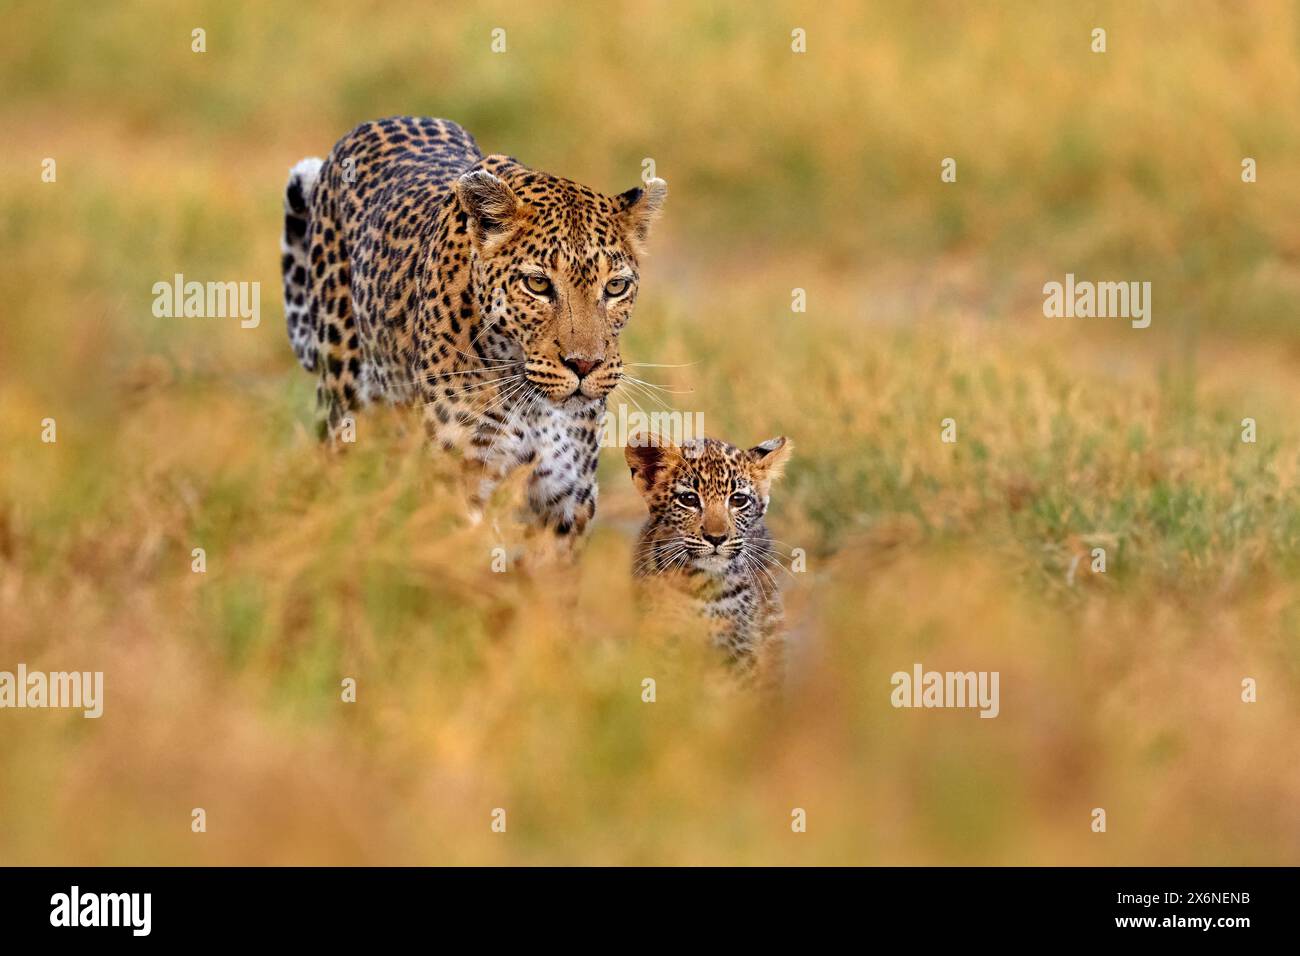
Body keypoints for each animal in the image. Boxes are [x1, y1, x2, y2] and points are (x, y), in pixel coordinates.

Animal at [281, 116, 666, 554]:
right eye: (537, 284)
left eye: (616, 287)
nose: (584, 365)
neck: (533, 404)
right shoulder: (459, 479)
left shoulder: (567, 496)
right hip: (344, 408)